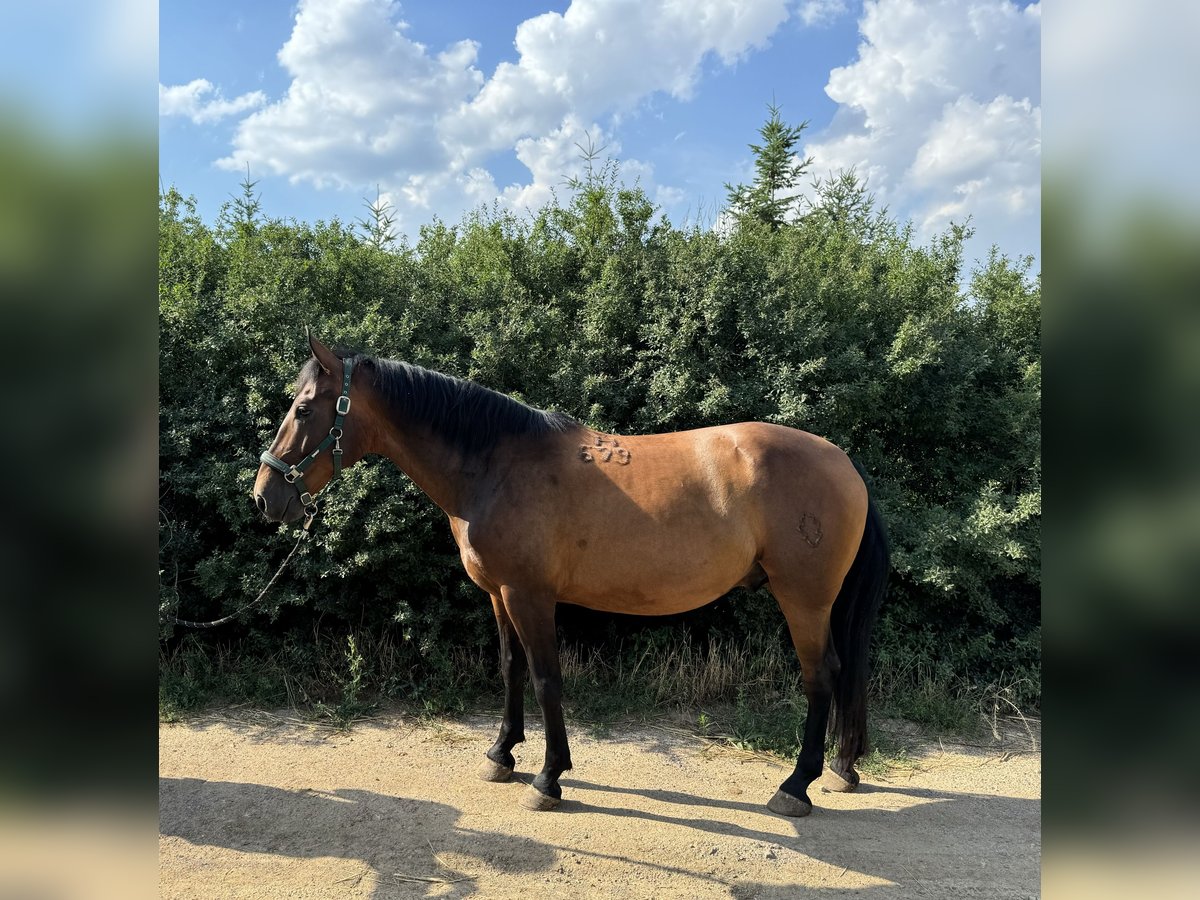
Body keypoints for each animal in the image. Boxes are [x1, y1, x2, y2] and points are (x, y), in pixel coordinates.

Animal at [255, 336, 892, 820]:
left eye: (304, 409)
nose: (265, 496)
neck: (496, 466)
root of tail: (844, 461)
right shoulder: (500, 594)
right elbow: (510, 670)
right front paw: (501, 754)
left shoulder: (530, 596)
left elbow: (546, 680)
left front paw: (548, 777)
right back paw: (841, 769)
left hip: (804, 599)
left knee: (821, 677)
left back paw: (795, 785)